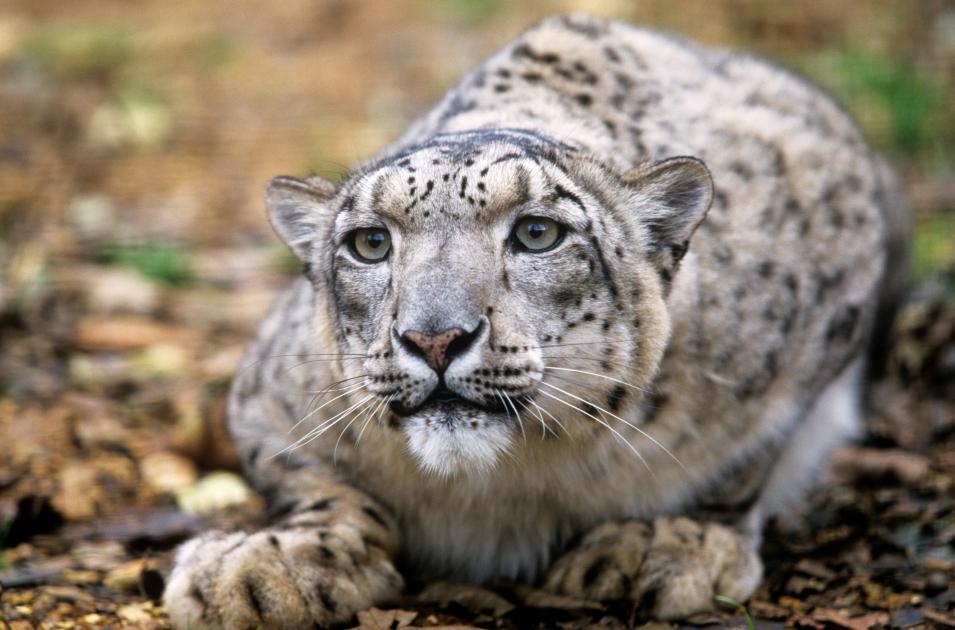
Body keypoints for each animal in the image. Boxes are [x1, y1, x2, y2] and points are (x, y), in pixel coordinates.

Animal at [162, 12, 904, 628]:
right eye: (369, 243)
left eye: (537, 233)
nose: (435, 338)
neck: (504, 490)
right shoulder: (267, 398)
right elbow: (309, 479)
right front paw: (261, 566)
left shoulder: (813, 329)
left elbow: (741, 463)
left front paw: (659, 543)